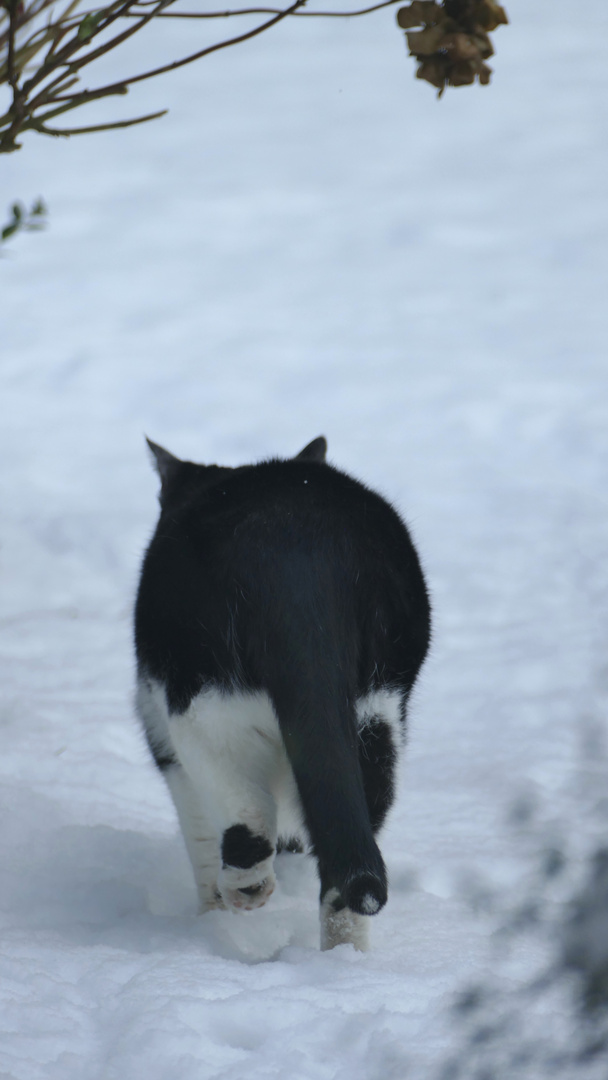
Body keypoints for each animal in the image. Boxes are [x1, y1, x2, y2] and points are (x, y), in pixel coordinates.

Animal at [134, 434, 427, 950]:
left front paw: (211, 917)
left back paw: (245, 889)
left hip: (202, 698)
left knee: (244, 805)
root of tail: (304, 555)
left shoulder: (164, 736)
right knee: (354, 843)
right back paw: (343, 956)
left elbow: (199, 837)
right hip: (378, 711)